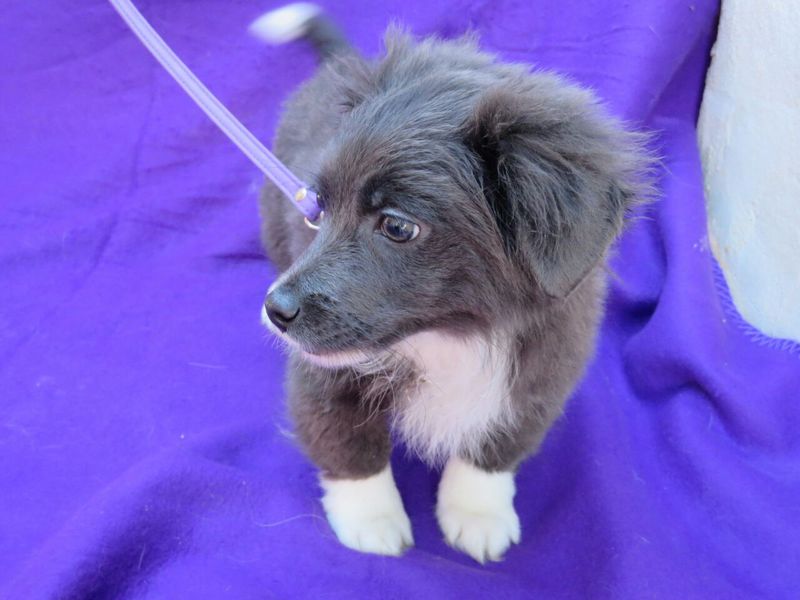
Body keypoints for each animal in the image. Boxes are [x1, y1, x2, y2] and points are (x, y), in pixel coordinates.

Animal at [255, 4, 650, 563]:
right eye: (320, 210)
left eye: (398, 227)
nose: (276, 309)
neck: (450, 335)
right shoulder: (322, 376)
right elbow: (348, 444)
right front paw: (372, 520)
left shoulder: (538, 378)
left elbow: (492, 449)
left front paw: (478, 514)